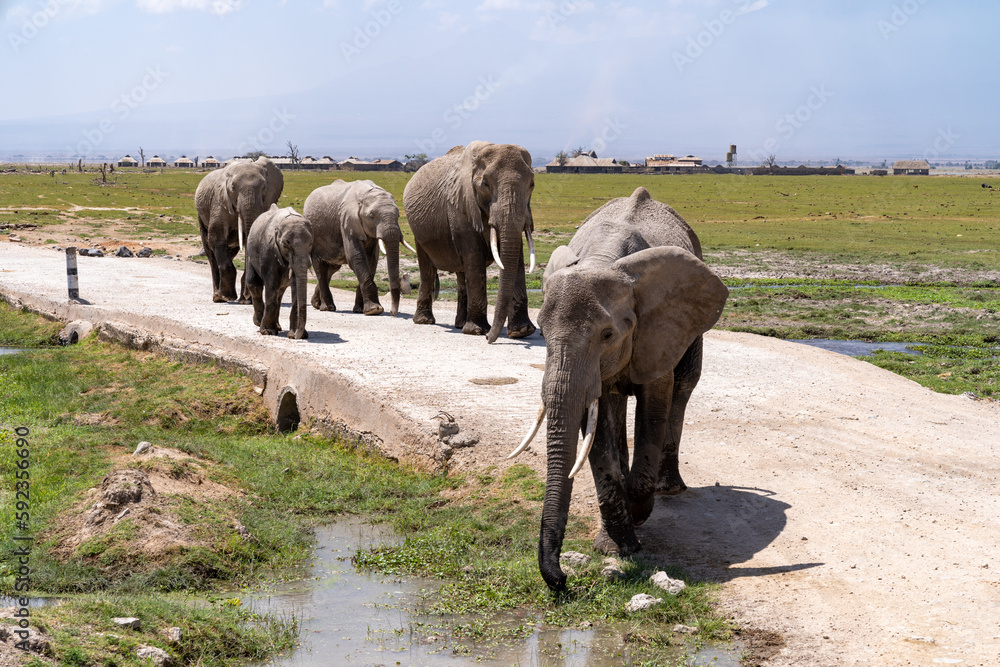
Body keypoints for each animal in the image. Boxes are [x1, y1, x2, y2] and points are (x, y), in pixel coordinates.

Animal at [194, 156, 283, 303]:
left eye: (264, 187)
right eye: (233, 188)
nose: (247, 297)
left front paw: (247, 300)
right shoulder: (219, 201)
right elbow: (216, 237)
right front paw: (226, 296)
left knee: (230, 251)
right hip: (201, 216)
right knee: (210, 252)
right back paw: (217, 297)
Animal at [244, 204, 313, 340]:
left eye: (311, 243)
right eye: (286, 244)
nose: (297, 337)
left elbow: (296, 286)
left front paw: (295, 334)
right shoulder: (269, 251)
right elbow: (271, 284)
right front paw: (268, 332)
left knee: (279, 293)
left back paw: (277, 327)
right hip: (250, 253)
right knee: (254, 285)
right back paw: (259, 323)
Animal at [302, 179, 414, 316]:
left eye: (398, 215)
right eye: (371, 216)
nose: (393, 313)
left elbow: (371, 260)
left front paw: (360, 310)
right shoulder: (348, 222)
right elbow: (357, 257)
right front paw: (374, 310)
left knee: (332, 269)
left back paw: (316, 304)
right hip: (314, 237)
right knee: (320, 268)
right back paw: (327, 308)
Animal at [403, 141, 537, 343]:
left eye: (532, 184)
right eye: (485, 184)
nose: (489, 339)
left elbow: (516, 256)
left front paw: (521, 332)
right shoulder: (461, 204)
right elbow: (474, 257)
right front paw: (477, 331)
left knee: (461, 273)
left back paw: (460, 324)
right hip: (418, 231)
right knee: (427, 268)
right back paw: (425, 321)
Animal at [509, 187, 729, 591]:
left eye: (608, 335)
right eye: (542, 331)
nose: (561, 580)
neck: (604, 259)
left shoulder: (658, 327)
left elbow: (656, 404)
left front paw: (639, 510)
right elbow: (597, 428)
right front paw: (617, 547)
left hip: (693, 323)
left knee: (684, 388)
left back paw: (667, 488)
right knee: (617, 404)